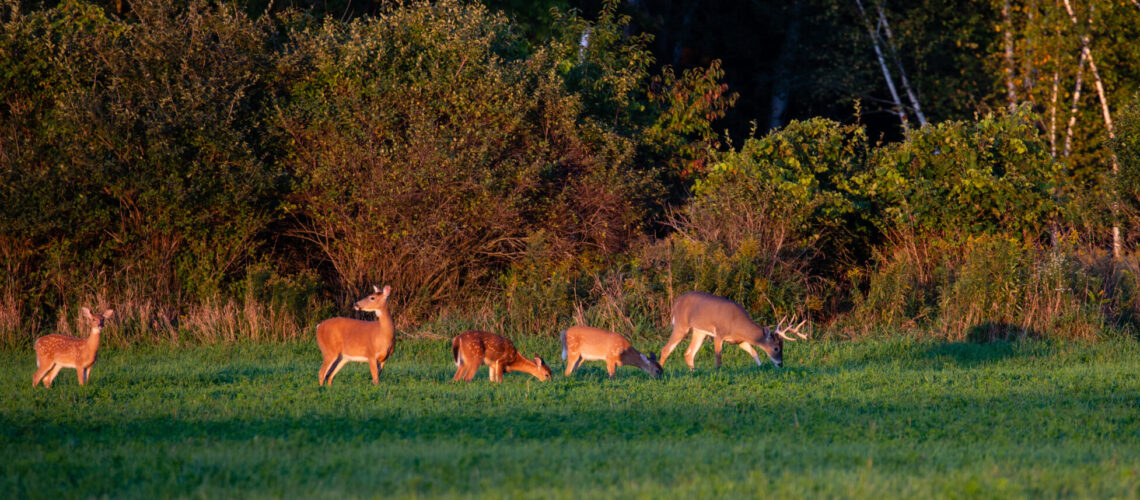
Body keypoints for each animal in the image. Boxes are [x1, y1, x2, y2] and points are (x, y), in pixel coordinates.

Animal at [659, 291, 807, 370]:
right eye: (776, 348)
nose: (780, 364)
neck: (737, 324)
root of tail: (675, 303)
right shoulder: (719, 334)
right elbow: (718, 357)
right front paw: (718, 371)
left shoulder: (739, 341)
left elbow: (754, 352)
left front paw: (760, 367)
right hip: (681, 325)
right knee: (666, 349)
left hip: (699, 331)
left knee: (689, 353)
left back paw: (693, 372)